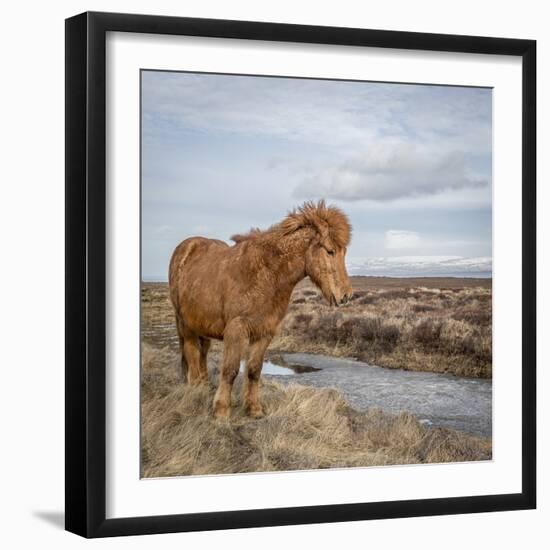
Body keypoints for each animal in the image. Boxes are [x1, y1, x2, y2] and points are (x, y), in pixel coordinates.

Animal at [168, 201, 356, 420]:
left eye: (343, 252)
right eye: (330, 251)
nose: (345, 296)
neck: (265, 274)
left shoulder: (265, 332)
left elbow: (253, 370)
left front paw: (254, 409)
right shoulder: (236, 330)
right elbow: (230, 370)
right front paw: (222, 411)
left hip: (201, 324)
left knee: (202, 352)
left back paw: (205, 386)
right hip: (185, 323)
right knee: (191, 353)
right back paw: (195, 388)